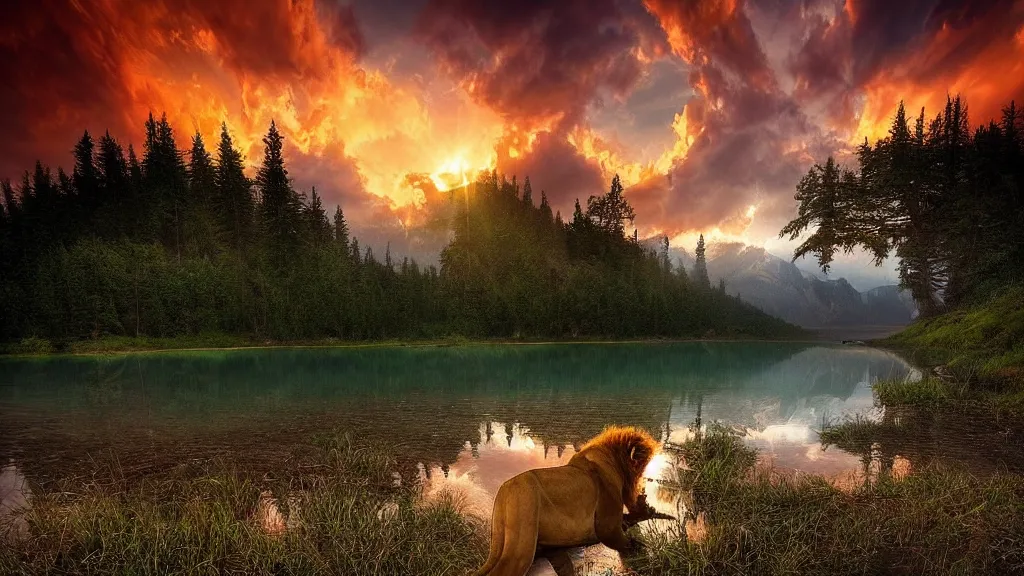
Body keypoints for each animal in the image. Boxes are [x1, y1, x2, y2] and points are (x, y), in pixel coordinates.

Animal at [468, 422, 655, 573]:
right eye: (641, 466)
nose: (643, 485)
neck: (613, 462)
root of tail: (503, 491)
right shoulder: (607, 527)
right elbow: (625, 541)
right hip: (520, 547)